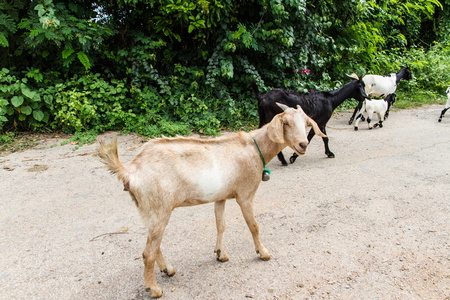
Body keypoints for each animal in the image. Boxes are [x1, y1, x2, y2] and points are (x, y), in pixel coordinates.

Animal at [98, 103, 326, 298]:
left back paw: (168, 269)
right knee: (148, 252)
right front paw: (263, 252)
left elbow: (220, 224)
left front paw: (220, 254)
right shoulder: (245, 195)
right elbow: (253, 225)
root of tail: (130, 170)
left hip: (148, 210)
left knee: (154, 244)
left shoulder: (221, 196)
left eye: (306, 123)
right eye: (286, 123)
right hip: (159, 207)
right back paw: (154, 289)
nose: (303, 144)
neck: (255, 148)